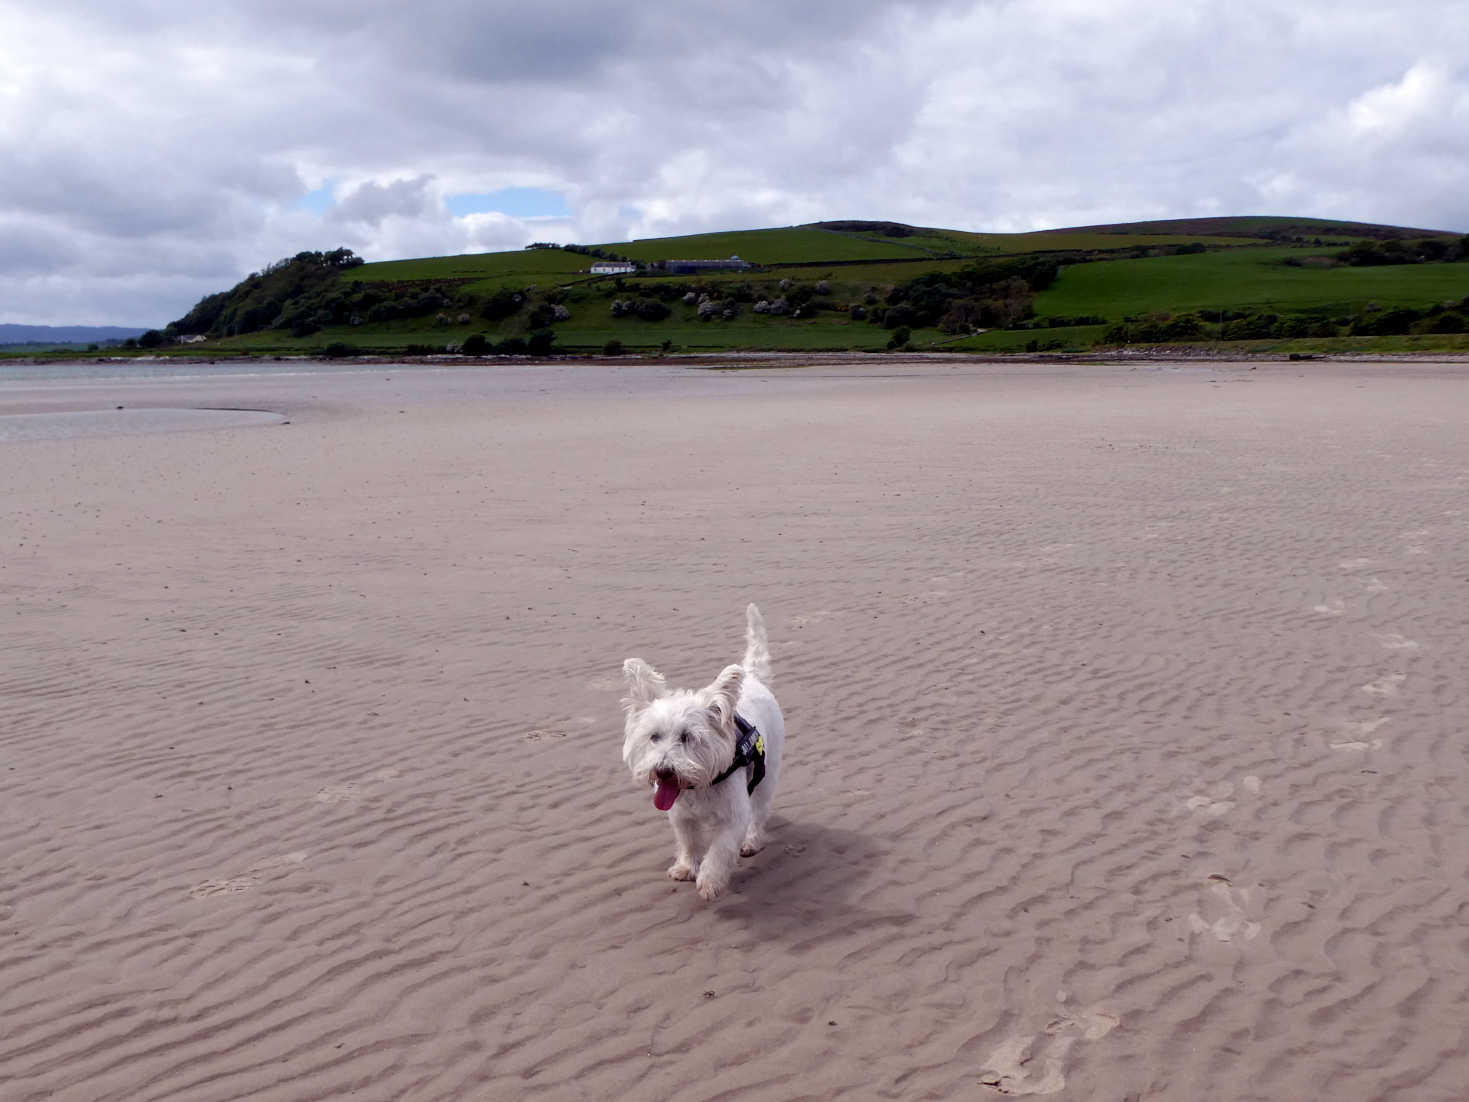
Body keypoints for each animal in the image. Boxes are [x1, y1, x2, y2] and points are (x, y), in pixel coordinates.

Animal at [619, 605, 787, 905]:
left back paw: (752, 841)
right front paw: (687, 867)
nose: (663, 770)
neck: (698, 785)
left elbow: (720, 850)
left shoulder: (733, 818)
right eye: (654, 737)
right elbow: (690, 841)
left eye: (687, 737)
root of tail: (753, 678)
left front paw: (709, 881)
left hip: (767, 777)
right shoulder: (681, 816)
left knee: (759, 812)